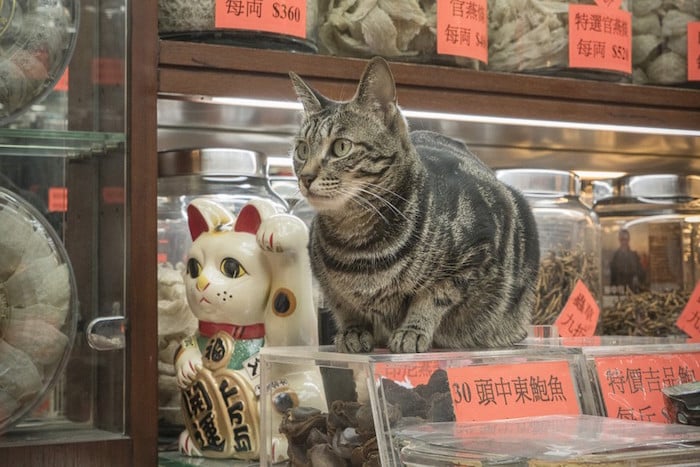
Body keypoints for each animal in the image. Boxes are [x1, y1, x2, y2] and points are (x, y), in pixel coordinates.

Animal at [288, 56, 540, 352]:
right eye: (302, 150)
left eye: (341, 147)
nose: (305, 177)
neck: (356, 246)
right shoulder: (327, 285)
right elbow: (344, 306)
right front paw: (352, 331)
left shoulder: (474, 257)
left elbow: (433, 297)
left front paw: (412, 330)